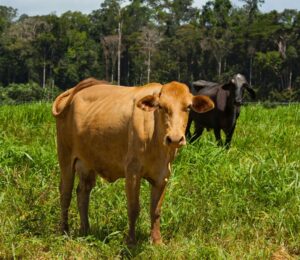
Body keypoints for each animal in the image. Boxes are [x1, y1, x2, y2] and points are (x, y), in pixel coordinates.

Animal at [52, 78, 214, 245]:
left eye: (188, 107)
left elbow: (155, 210)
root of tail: (74, 90)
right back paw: (64, 230)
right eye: (160, 106)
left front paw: (157, 241)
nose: (175, 138)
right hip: (65, 157)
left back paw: (85, 230)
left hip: (87, 163)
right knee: (65, 193)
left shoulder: (163, 175)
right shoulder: (132, 172)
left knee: (83, 192)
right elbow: (133, 208)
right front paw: (130, 241)